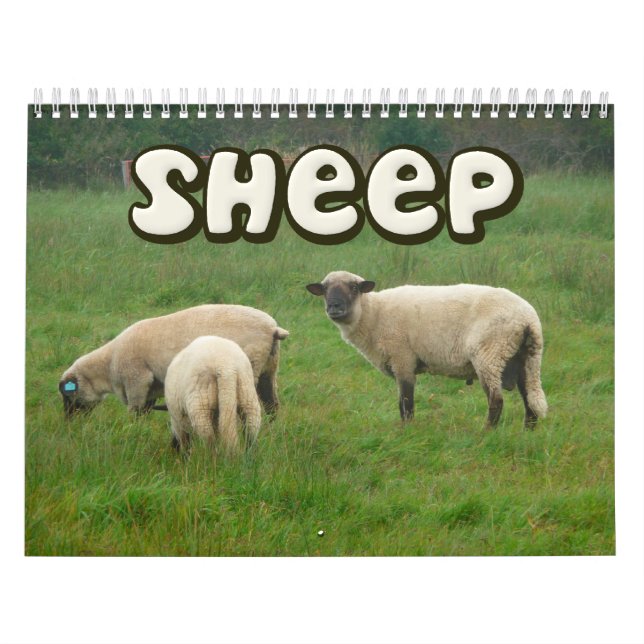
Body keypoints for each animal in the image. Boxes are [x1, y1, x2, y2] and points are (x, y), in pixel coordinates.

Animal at [58, 304, 289, 417]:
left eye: (67, 395)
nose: (69, 421)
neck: (108, 364)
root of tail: (272, 328)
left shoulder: (137, 379)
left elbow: (135, 411)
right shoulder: (151, 386)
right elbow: (145, 411)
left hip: (250, 365)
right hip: (269, 369)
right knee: (272, 405)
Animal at [306, 270, 547, 429]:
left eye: (354, 287)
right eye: (325, 289)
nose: (334, 307)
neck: (373, 314)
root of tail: (528, 318)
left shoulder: (402, 359)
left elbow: (406, 403)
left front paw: (407, 431)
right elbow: (402, 403)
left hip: (489, 355)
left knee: (496, 400)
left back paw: (487, 431)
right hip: (524, 357)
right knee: (530, 399)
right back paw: (527, 432)